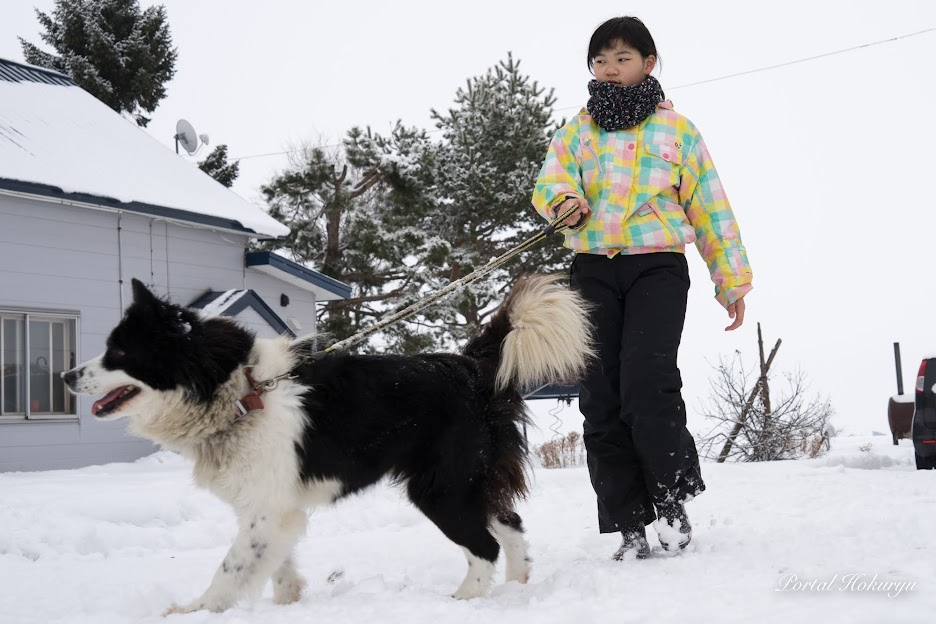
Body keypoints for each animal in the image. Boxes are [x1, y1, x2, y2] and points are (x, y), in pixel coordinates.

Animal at [64, 278, 592, 616]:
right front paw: (287, 602)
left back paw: (465, 602)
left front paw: (197, 610)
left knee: (484, 545)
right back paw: (517, 587)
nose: (67, 376)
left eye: (120, 352)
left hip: (440, 490)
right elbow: (273, 563)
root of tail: (471, 366)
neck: (233, 388)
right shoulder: (272, 508)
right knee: (510, 525)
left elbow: (231, 568)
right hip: (469, 483)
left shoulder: (266, 508)